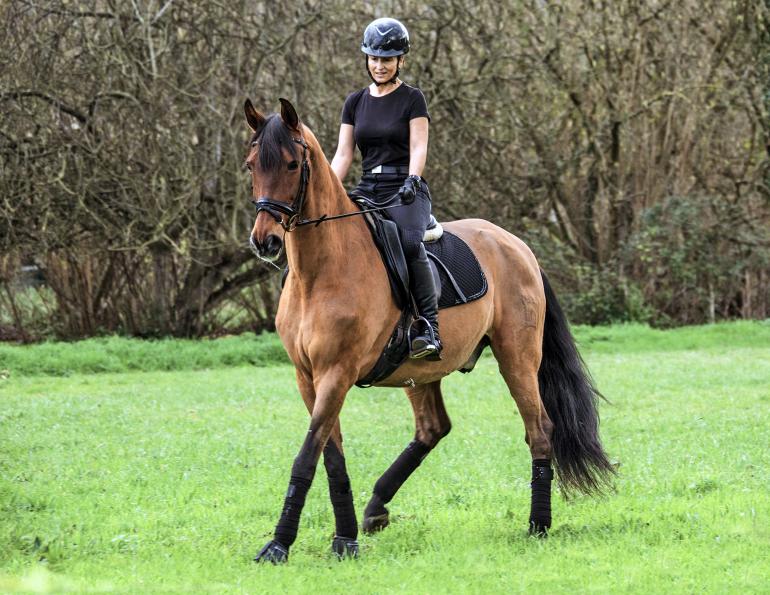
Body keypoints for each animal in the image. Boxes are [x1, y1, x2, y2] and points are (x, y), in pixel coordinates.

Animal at [244, 98, 614, 563]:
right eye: (251, 165)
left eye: (292, 165)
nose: (266, 242)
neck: (322, 270)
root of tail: (515, 245)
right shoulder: (308, 377)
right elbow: (331, 456)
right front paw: (345, 537)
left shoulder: (337, 373)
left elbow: (307, 456)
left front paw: (279, 544)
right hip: (419, 371)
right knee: (432, 428)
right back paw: (376, 507)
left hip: (517, 358)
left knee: (539, 429)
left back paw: (538, 524)